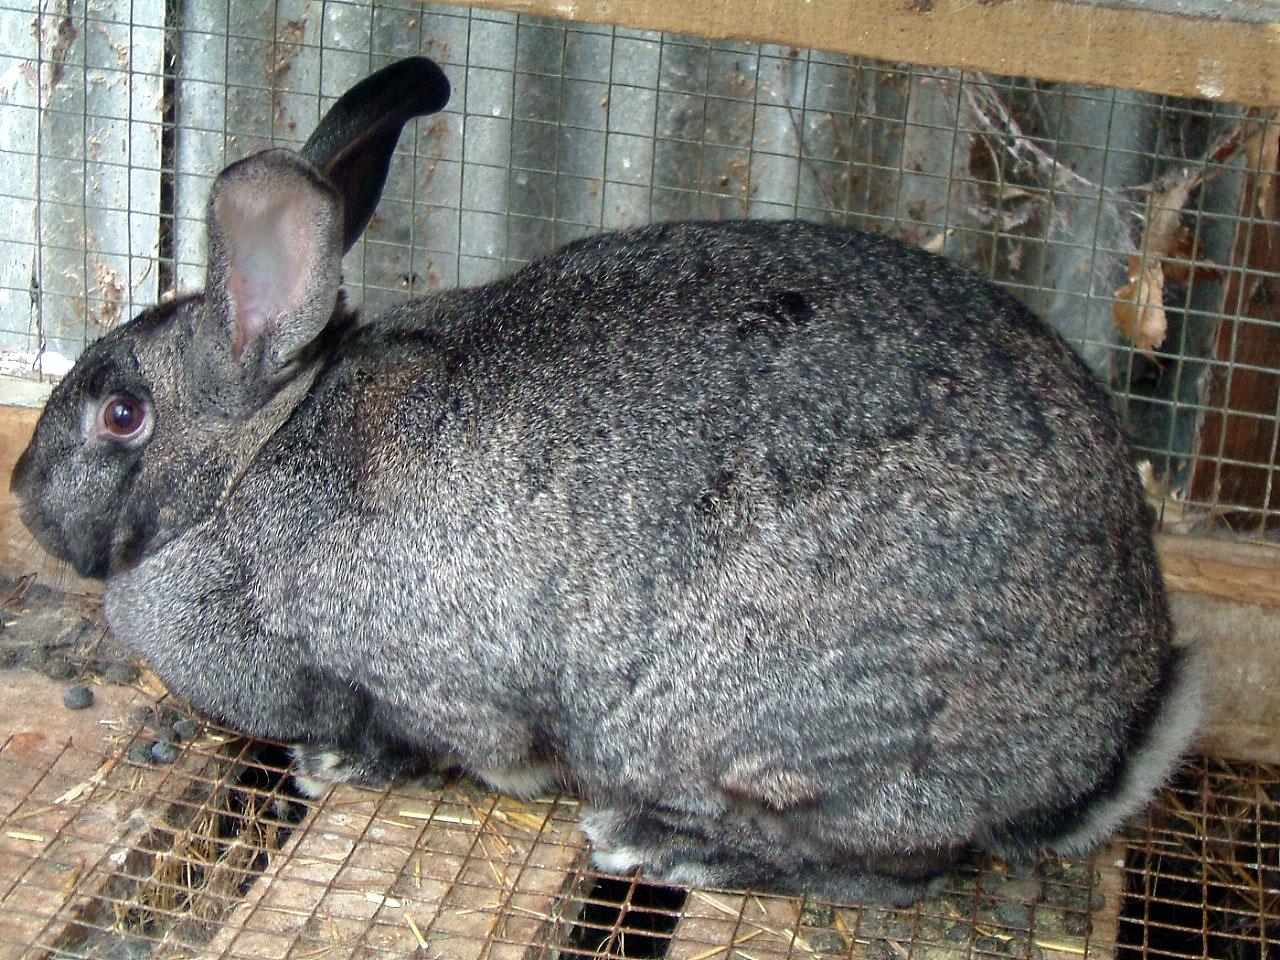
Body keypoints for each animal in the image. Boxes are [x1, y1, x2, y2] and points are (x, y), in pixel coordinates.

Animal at [10, 55, 1200, 906]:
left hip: (767, 732)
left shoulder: (420, 678)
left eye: (122, 415)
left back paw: (658, 848)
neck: (247, 471)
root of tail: (1109, 739)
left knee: (886, 870)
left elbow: (415, 738)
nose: (23, 492)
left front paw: (330, 768)